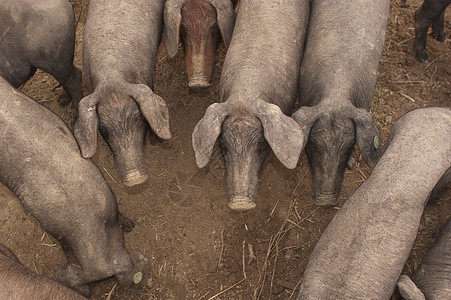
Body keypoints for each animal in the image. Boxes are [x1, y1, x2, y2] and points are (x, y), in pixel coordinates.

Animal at [76, 0, 171, 186]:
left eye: (139, 120)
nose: (135, 179)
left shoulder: (147, 80)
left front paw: (155, 141)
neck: (111, 77)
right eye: (104, 130)